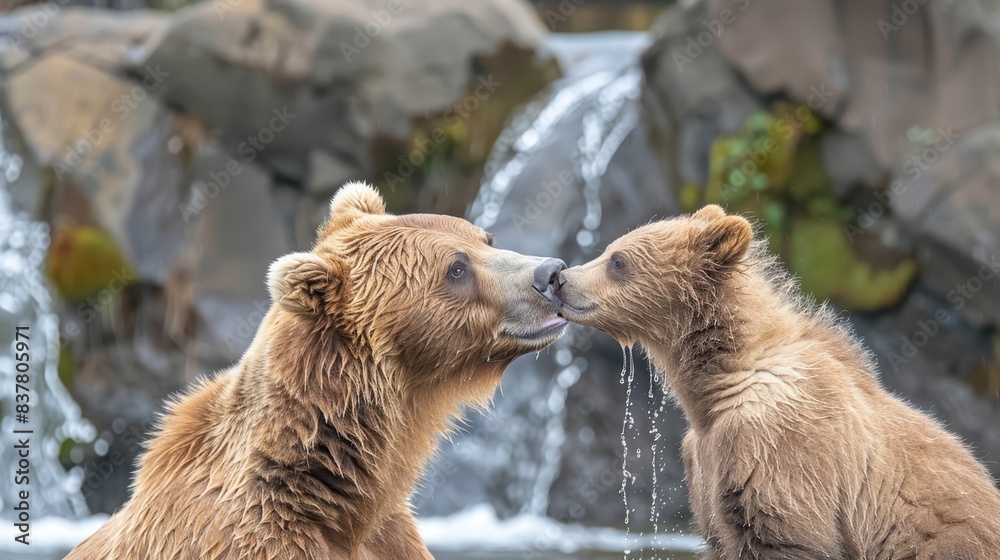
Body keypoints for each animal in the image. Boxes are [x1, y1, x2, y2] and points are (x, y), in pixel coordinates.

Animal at [560, 206, 1000, 560]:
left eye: (618, 260)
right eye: (612, 251)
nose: (561, 278)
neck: (719, 381)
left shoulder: (775, 445)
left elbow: (782, 533)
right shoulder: (704, 462)